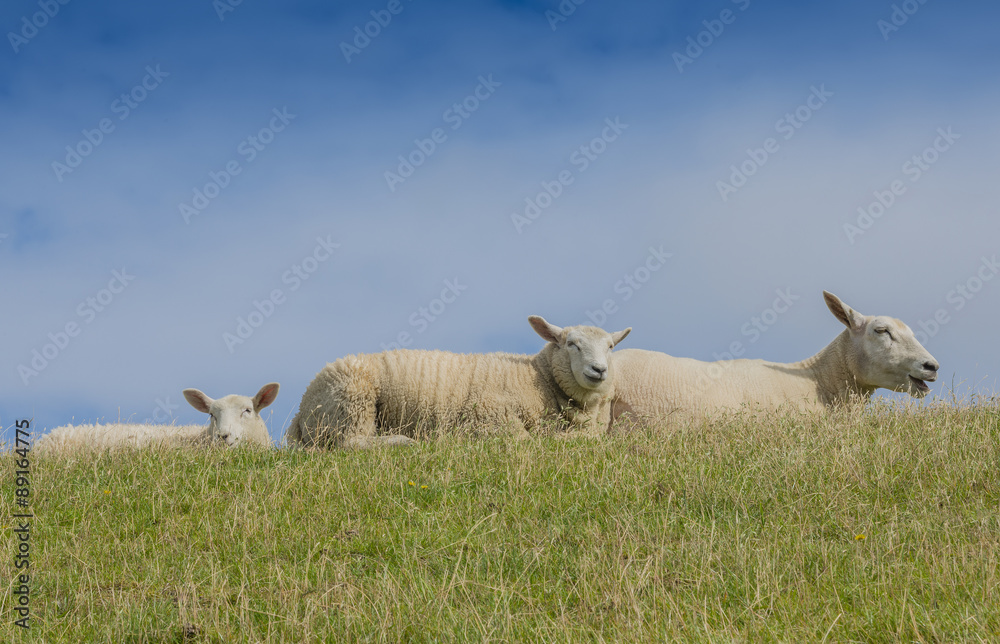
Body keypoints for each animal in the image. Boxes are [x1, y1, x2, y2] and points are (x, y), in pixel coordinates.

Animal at [285, 316, 632, 448]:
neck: (539, 377)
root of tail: (301, 414)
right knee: (349, 443)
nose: (599, 370)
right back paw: (402, 441)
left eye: (610, 347)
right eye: (572, 344)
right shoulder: (491, 417)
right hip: (352, 400)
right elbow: (524, 440)